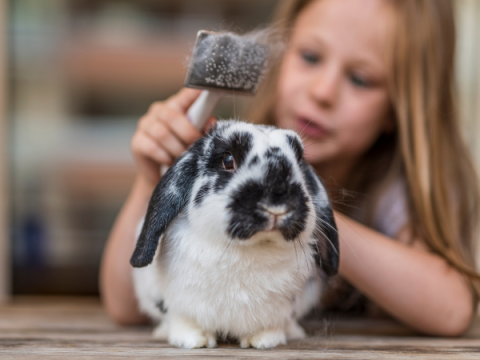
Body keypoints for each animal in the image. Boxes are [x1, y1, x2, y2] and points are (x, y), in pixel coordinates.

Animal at [129, 120, 340, 348]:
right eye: (228, 160)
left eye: (299, 162)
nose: (277, 205)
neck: (251, 248)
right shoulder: (180, 306)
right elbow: (184, 321)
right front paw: (196, 341)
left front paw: (263, 341)